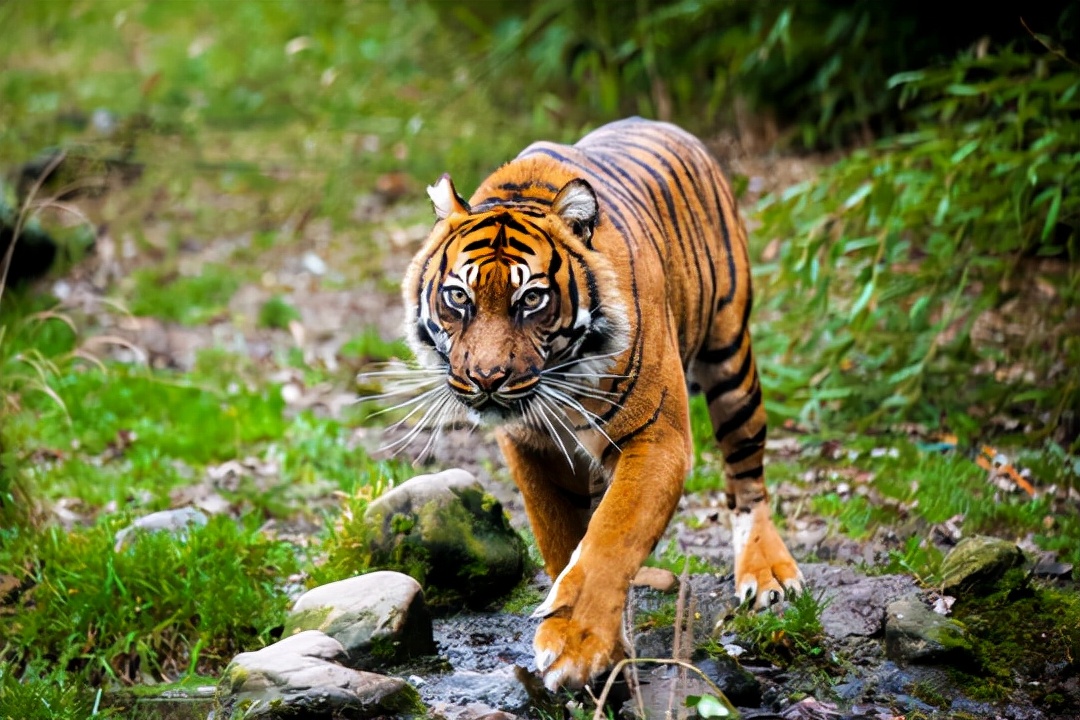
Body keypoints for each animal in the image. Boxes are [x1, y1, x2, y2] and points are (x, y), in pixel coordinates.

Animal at [399, 117, 802, 691]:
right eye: (459, 298)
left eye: (532, 299)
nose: (487, 379)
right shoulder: (534, 447)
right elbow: (562, 539)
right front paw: (595, 644)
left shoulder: (657, 435)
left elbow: (611, 537)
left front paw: (577, 644)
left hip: (730, 355)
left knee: (747, 475)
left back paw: (767, 573)